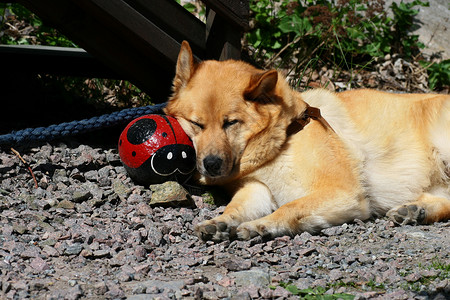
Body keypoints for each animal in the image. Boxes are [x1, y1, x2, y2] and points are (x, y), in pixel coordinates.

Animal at [164, 41, 450, 241]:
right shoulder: (259, 189)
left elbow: (291, 207)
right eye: (197, 124)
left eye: (230, 123)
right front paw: (221, 221)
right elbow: (237, 206)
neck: (286, 134)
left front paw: (261, 225)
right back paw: (415, 211)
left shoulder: (342, 192)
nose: (211, 164)